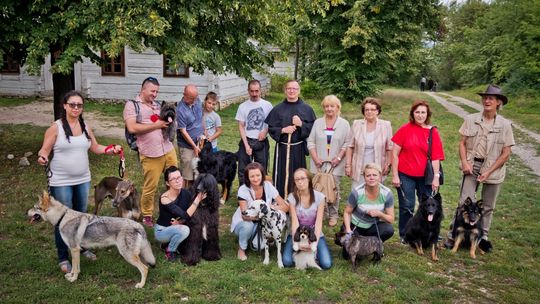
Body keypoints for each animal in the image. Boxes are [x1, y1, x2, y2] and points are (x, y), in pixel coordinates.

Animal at [27, 191, 155, 288]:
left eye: (34, 208)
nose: (26, 212)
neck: (62, 217)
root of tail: (138, 225)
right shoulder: (75, 250)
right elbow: (75, 267)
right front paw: (70, 276)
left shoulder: (74, 249)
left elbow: (75, 268)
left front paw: (73, 279)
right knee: (146, 266)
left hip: (128, 255)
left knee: (145, 268)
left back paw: (141, 285)